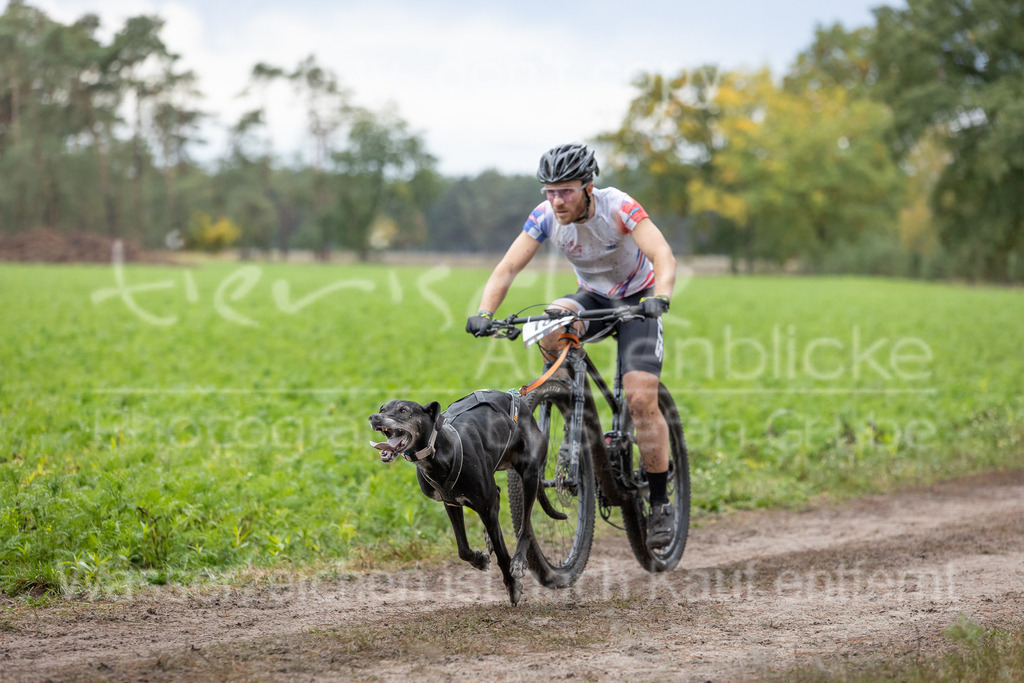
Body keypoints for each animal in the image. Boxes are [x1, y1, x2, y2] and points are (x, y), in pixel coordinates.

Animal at [370, 389, 548, 602]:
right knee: (497, 495)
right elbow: (463, 549)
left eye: (403, 410)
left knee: (525, 525)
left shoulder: (486, 509)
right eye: (382, 409)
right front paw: (479, 560)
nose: (374, 417)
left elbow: (502, 554)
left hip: (529, 474)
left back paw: (519, 560)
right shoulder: (452, 504)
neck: (441, 452)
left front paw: (512, 585)